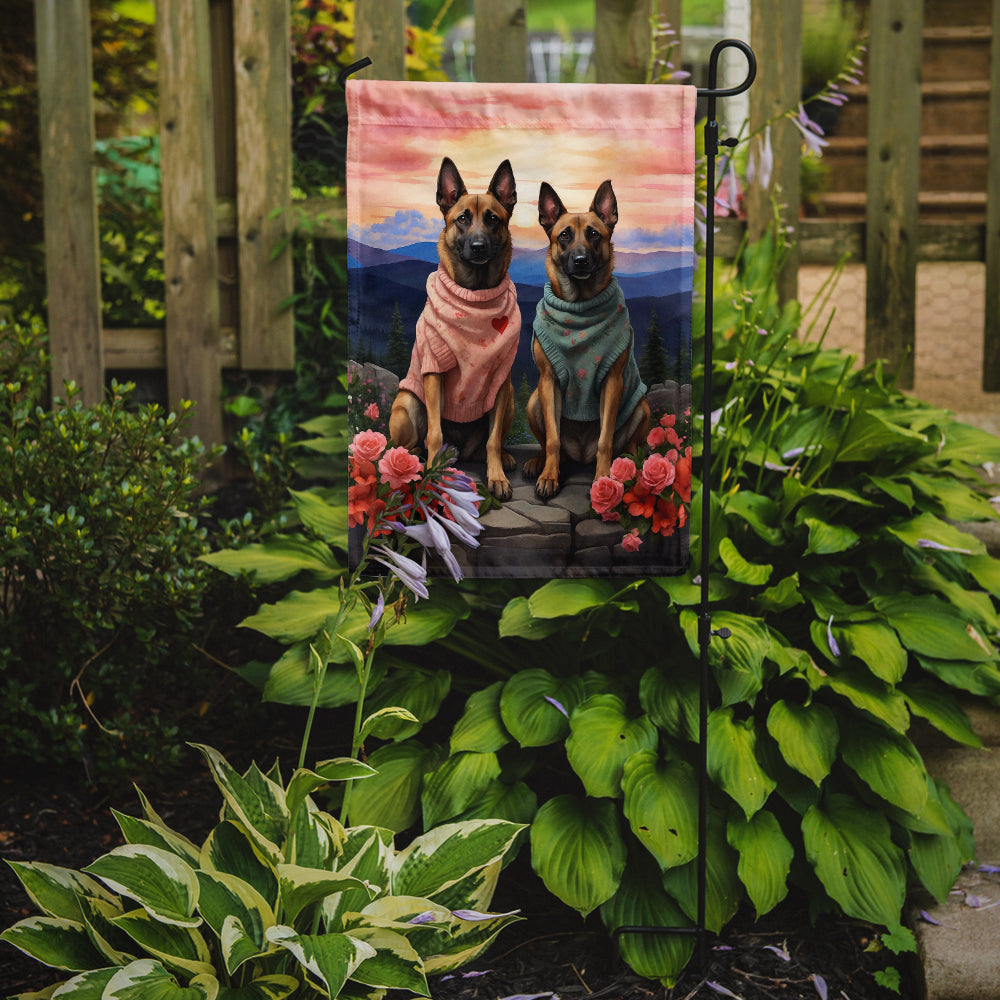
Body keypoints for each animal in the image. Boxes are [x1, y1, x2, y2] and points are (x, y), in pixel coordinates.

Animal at [386, 160, 520, 500]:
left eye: (493, 219)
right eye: (462, 219)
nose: (478, 246)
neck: (475, 296)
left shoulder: (501, 381)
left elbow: (493, 439)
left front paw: (497, 476)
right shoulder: (434, 369)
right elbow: (434, 433)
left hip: (511, 399)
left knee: (487, 444)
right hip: (406, 405)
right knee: (411, 443)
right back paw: (417, 457)